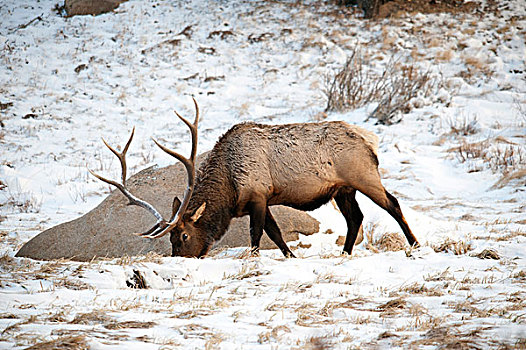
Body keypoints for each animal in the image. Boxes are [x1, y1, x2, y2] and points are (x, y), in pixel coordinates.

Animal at [91, 98, 420, 258]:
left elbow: (257, 235)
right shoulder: (261, 201)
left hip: (364, 175)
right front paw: (291, 257)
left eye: (182, 236)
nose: (179, 258)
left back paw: (415, 245)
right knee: (356, 218)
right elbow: (276, 233)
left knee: (393, 203)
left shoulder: (258, 195)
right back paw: (344, 253)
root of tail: (370, 139)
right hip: (342, 189)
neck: (230, 186)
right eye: (170, 238)